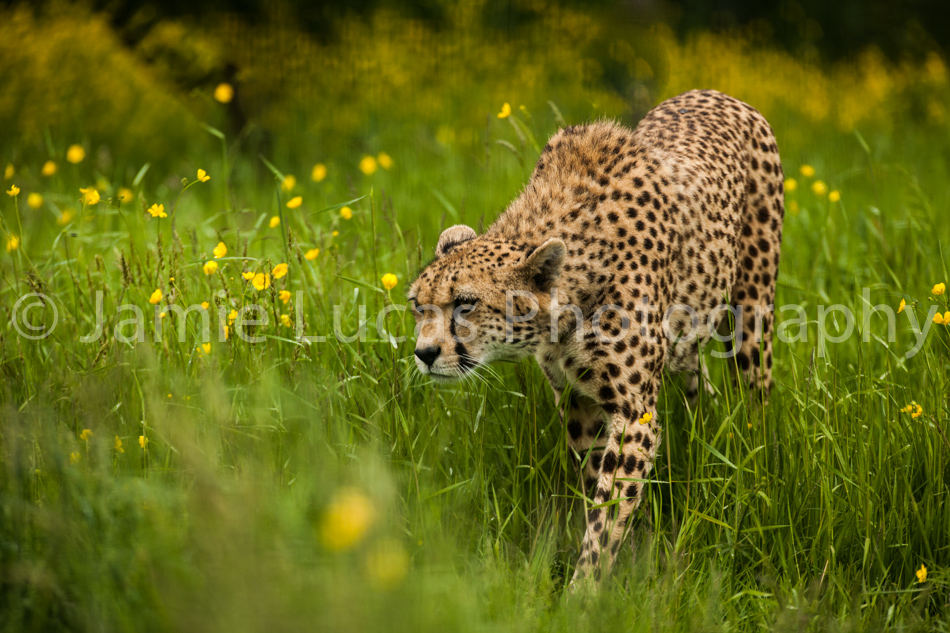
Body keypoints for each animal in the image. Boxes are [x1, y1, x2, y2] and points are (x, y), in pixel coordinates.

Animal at [407, 89, 784, 583]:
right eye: (418, 305)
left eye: (466, 303)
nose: (425, 353)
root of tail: (717, 94)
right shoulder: (579, 400)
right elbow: (596, 491)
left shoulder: (634, 412)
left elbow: (607, 512)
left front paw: (585, 589)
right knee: (698, 383)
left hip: (752, 314)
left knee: (754, 397)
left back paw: (755, 463)